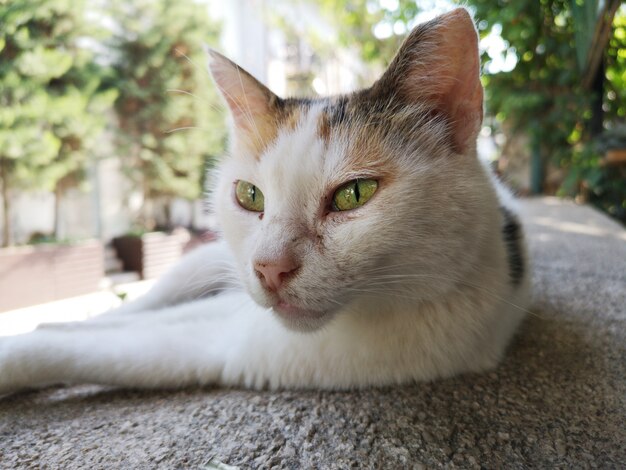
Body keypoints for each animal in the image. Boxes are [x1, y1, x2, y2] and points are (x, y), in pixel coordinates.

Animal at [0, 9, 528, 394]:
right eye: (249, 195)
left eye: (354, 194)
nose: (269, 269)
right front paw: (42, 330)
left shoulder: (233, 345)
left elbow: (90, 350)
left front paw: (23, 351)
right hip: (201, 264)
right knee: (143, 305)